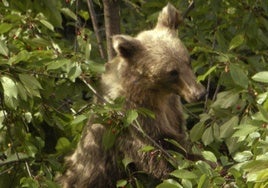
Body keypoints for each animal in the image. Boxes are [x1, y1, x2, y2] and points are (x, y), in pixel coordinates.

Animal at [58, 3, 205, 188]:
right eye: (172, 72)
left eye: (188, 61)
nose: (199, 93)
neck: (155, 92)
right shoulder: (135, 115)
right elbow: (160, 149)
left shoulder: (172, 107)